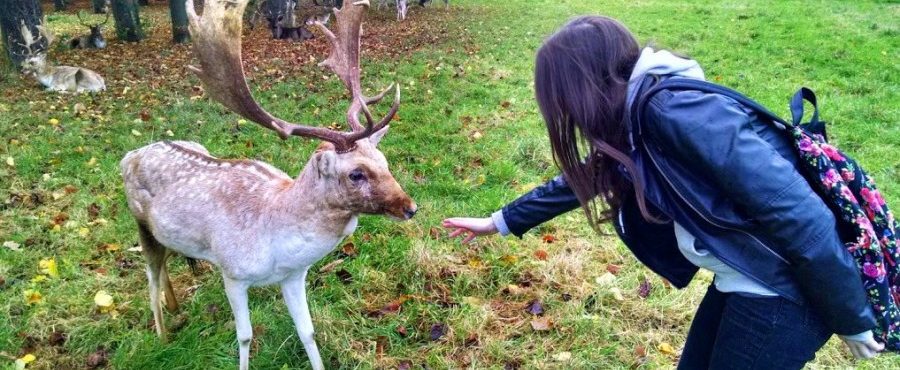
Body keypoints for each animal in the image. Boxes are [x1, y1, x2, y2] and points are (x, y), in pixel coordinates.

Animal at [118, 1, 414, 368]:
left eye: (384, 161)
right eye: (356, 174)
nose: (410, 207)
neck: (276, 242)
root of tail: (129, 155)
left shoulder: (294, 275)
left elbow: (308, 332)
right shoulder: (232, 273)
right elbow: (244, 337)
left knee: (166, 263)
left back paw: (174, 307)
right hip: (138, 220)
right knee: (152, 275)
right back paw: (162, 335)